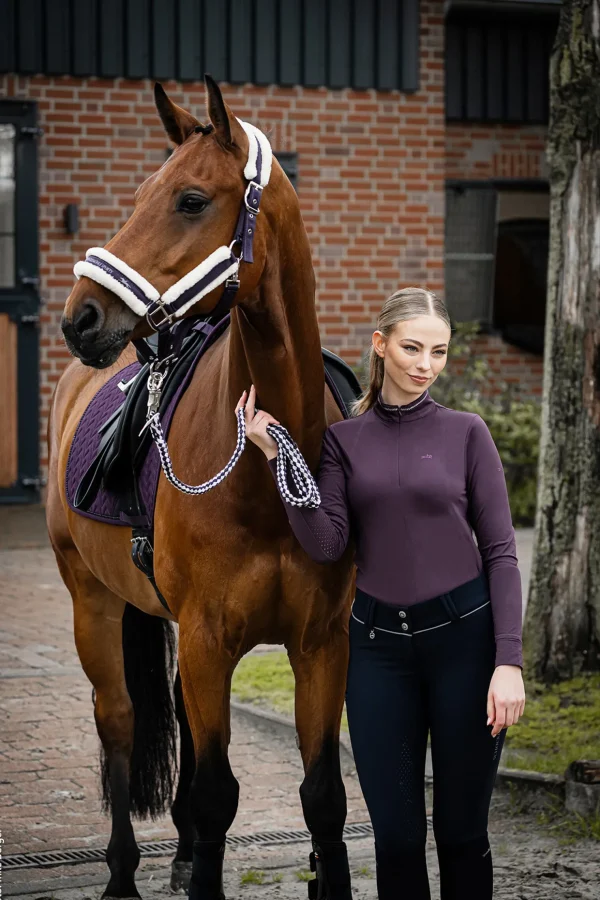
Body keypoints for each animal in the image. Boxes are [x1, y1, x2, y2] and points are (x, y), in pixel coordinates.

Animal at [48, 77, 356, 900]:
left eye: (190, 199)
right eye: (138, 195)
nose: (82, 317)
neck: (270, 469)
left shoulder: (321, 643)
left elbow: (324, 794)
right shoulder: (210, 639)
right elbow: (221, 792)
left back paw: (184, 855)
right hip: (93, 604)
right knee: (118, 722)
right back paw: (124, 875)